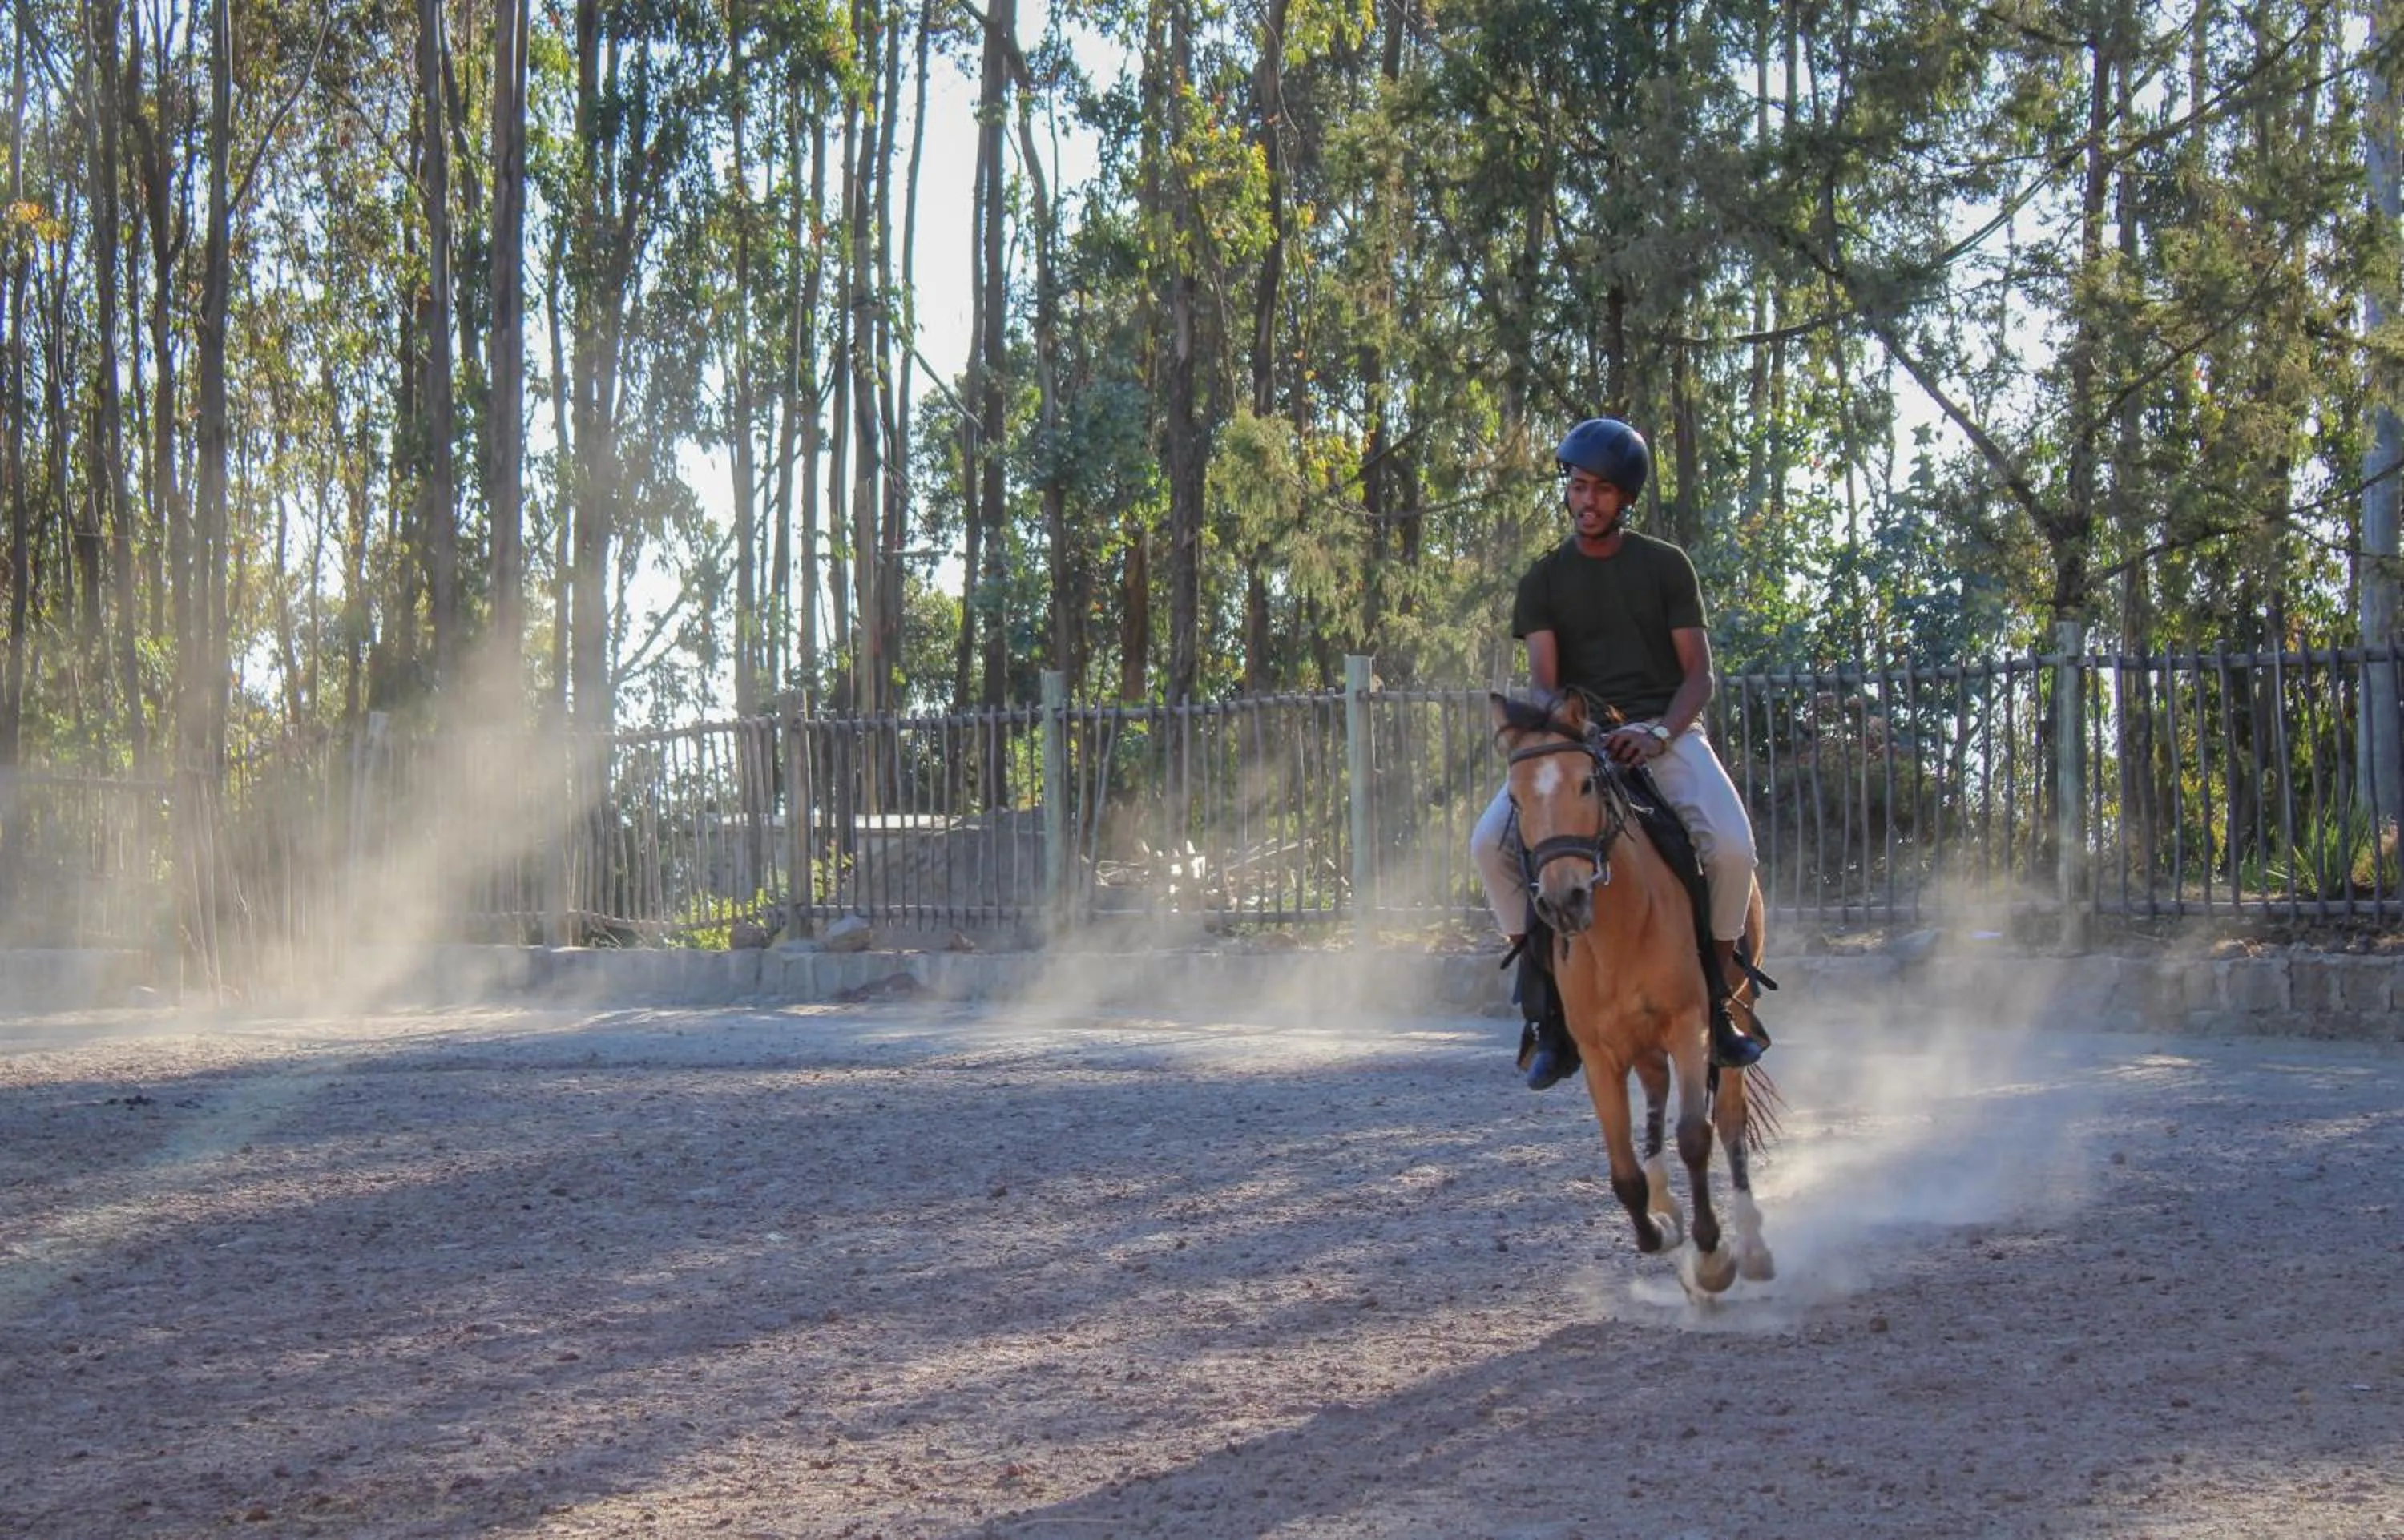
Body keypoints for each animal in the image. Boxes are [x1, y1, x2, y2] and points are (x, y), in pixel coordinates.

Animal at [1491, 689, 1778, 1301]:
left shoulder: (1690, 1025)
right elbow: (1623, 1172)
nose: (1563, 901)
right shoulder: (1600, 1053)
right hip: (1639, 1043)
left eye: (1585, 785)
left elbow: (1696, 1135)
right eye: (1516, 800)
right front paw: (1663, 1232)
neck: (1617, 927)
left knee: (1732, 1119)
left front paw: (1713, 1258)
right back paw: (1667, 1206)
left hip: (1736, 1010)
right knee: (1654, 1094)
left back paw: (1751, 1247)